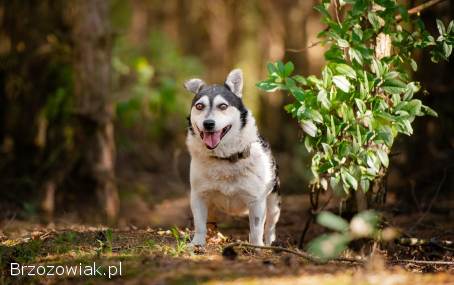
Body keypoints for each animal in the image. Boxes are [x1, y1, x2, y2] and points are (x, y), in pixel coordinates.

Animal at [184, 67, 280, 245]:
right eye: (199, 106)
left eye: (223, 106)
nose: (208, 124)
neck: (224, 157)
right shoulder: (199, 196)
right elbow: (199, 224)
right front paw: (197, 244)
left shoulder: (256, 201)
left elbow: (256, 230)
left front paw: (257, 247)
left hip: (274, 201)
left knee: (270, 225)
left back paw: (270, 244)